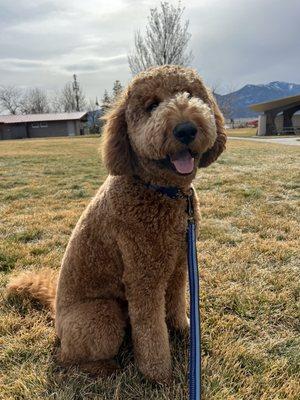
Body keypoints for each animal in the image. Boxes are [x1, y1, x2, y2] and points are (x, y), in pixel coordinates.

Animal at [7, 64, 226, 382]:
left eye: (191, 94)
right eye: (152, 106)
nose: (185, 129)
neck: (160, 190)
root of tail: (56, 316)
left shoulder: (179, 265)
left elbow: (175, 302)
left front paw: (184, 331)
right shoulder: (143, 277)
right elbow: (150, 330)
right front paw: (158, 374)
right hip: (103, 314)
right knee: (67, 358)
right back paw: (106, 367)